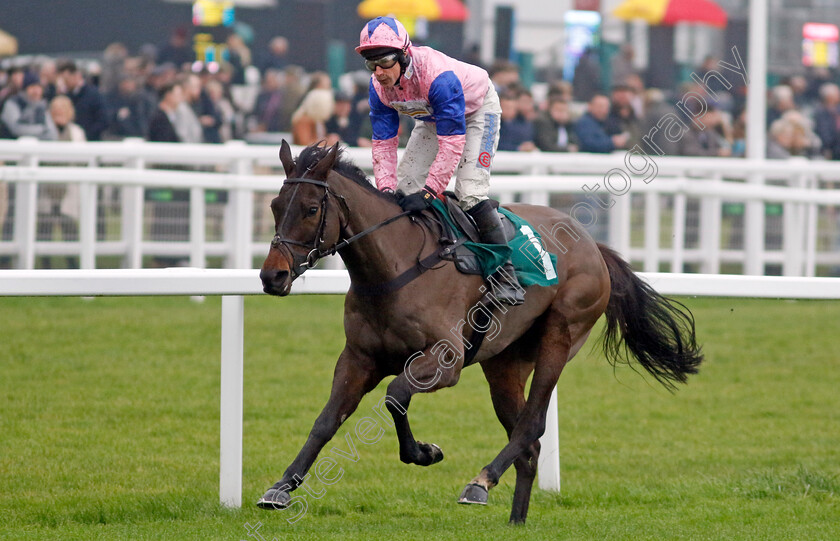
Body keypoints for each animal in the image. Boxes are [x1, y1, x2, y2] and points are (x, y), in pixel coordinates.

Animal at [258, 140, 704, 524]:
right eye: (276, 205)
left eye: (311, 208)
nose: (271, 276)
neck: (393, 270)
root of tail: (594, 245)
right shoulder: (358, 359)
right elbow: (326, 420)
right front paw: (281, 487)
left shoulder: (445, 360)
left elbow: (395, 395)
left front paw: (424, 452)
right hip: (505, 363)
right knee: (528, 442)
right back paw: (516, 520)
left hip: (562, 334)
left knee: (532, 425)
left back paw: (480, 482)